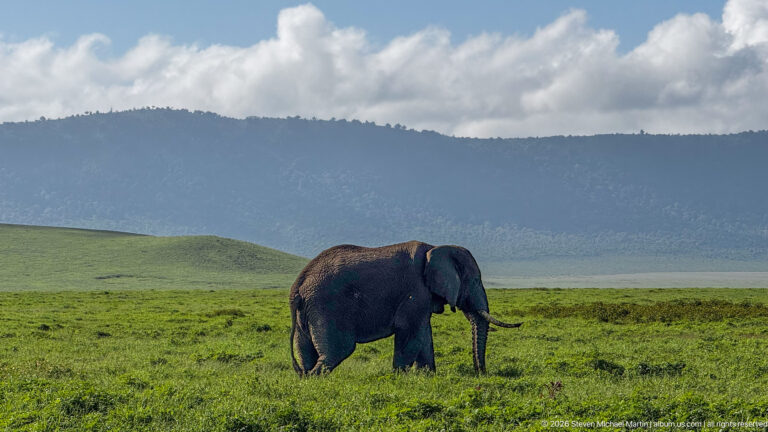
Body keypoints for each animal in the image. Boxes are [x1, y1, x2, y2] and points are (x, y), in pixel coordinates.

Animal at [289, 241, 521, 376]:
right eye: (474, 281)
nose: (481, 373)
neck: (435, 248)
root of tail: (299, 284)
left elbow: (424, 333)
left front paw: (427, 376)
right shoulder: (415, 290)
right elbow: (411, 331)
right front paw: (400, 377)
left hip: (309, 310)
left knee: (305, 350)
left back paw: (306, 378)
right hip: (328, 306)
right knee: (339, 350)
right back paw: (316, 378)